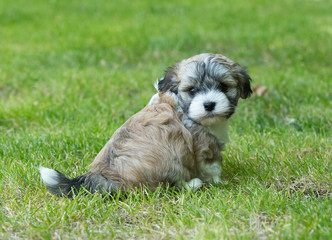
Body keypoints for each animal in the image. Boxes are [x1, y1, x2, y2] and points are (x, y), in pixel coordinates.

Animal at [39, 53, 252, 196]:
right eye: (192, 90)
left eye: (223, 87)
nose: (209, 104)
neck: (182, 107)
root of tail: (105, 177)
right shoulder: (204, 145)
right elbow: (212, 166)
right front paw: (219, 182)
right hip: (171, 157)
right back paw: (193, 184)